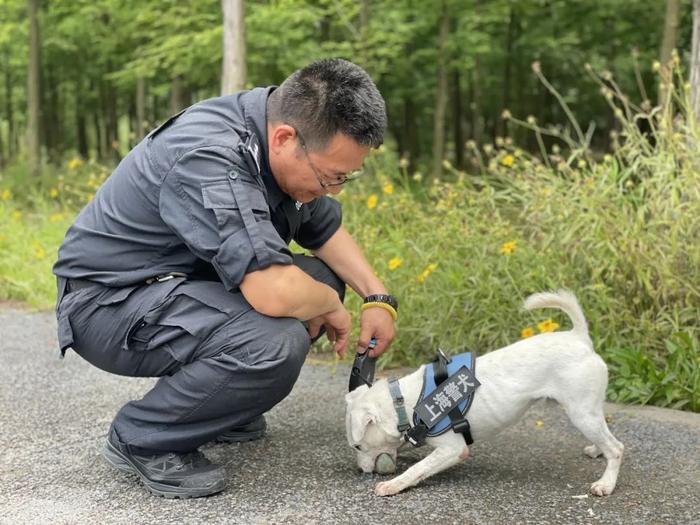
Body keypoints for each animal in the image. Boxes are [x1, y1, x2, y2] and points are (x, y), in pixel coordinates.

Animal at [348, 288, 628, 498]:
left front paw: (393, 485)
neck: (403, 402)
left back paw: (606, 483)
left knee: (616, 448)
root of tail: (579, 338)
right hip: (587, 410)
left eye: (358, 446)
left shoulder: (452, 449)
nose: (362, 471)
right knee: (604, 435)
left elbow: (418, 468)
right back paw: (596, 449)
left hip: (580, 412)